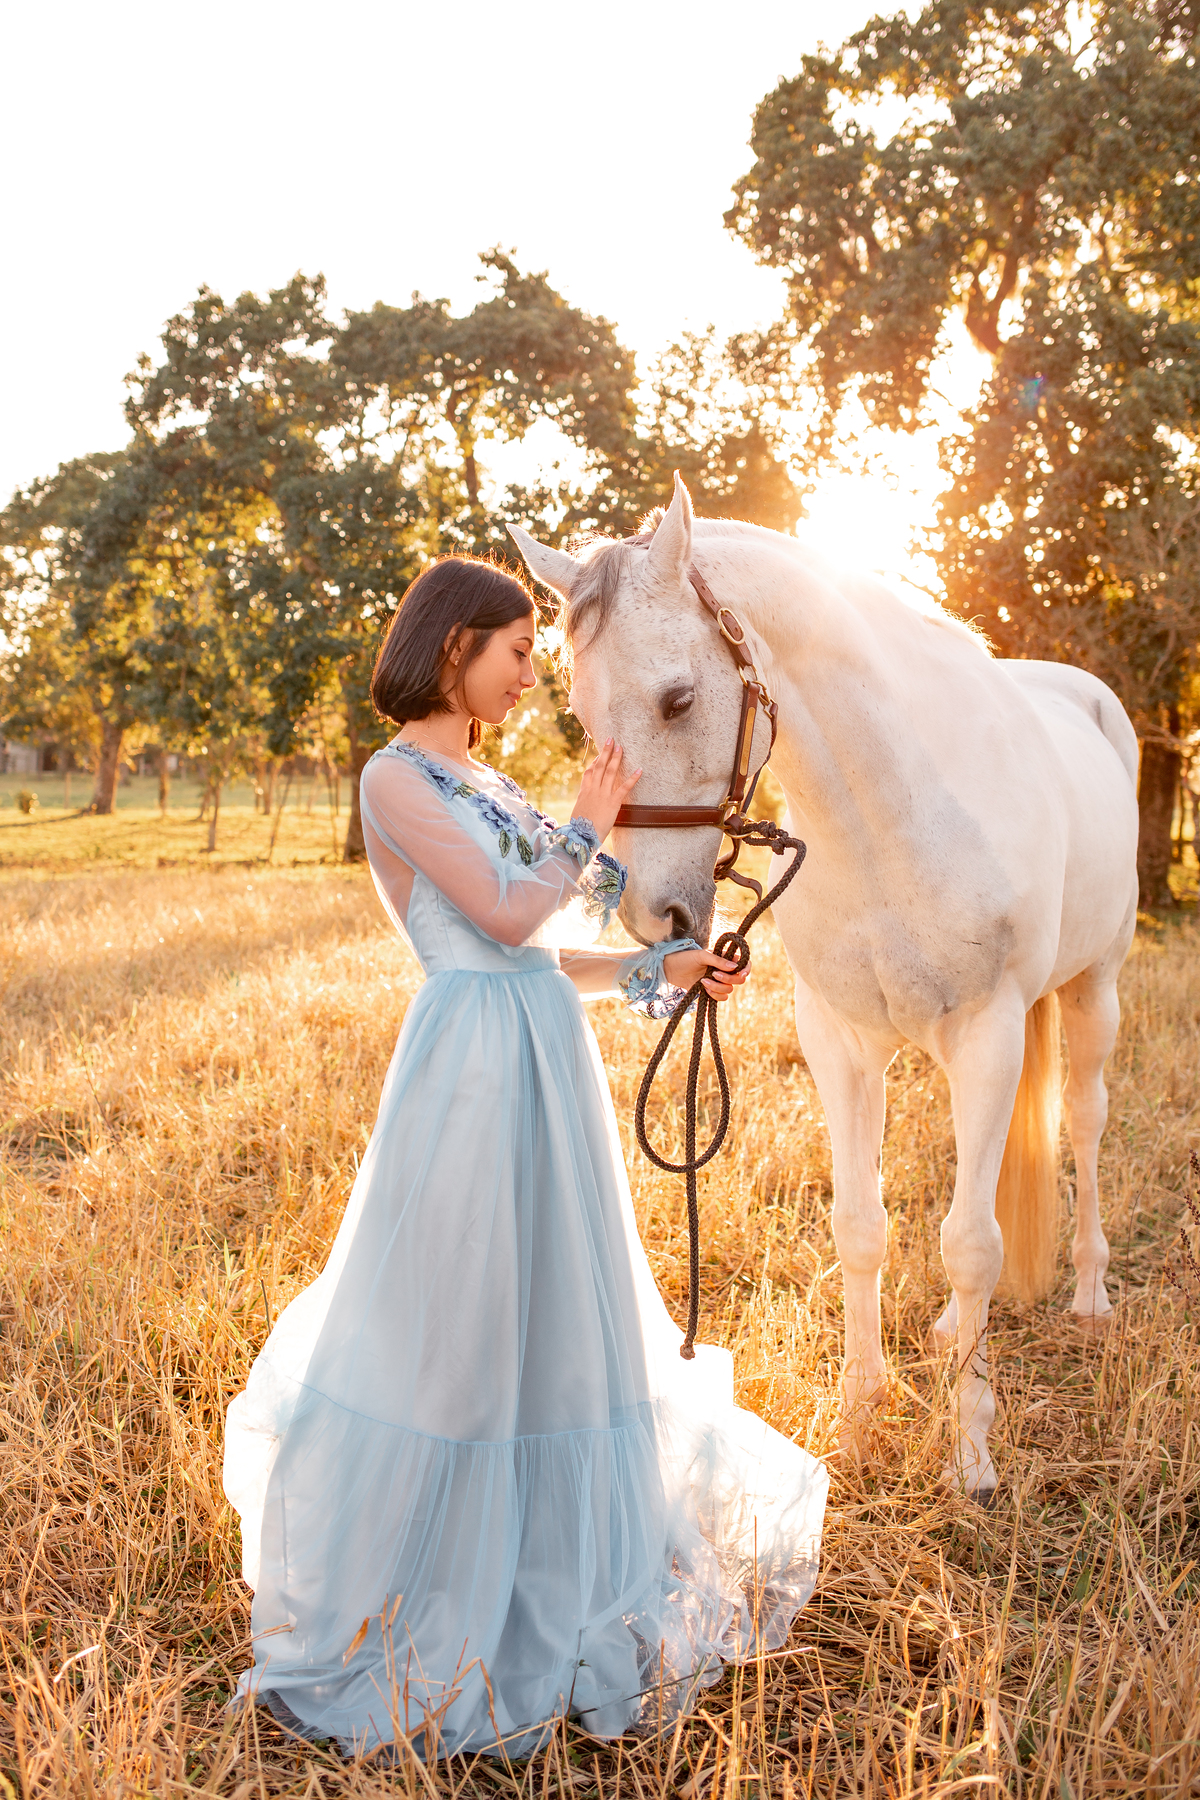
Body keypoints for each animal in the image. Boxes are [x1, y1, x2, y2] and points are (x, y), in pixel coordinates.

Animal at [511, 473, 1140, 1498]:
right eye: (579, 710)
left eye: (679, 699)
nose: (655, 917)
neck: (891, 813)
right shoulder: (840, 1046)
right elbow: (861, 1229)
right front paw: (858, 1422)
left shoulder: (990, 1035)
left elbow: (972, 1245)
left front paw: (970, 1454)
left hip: (1094, 991)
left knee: (1083, 1123)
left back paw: (1089, 1293)